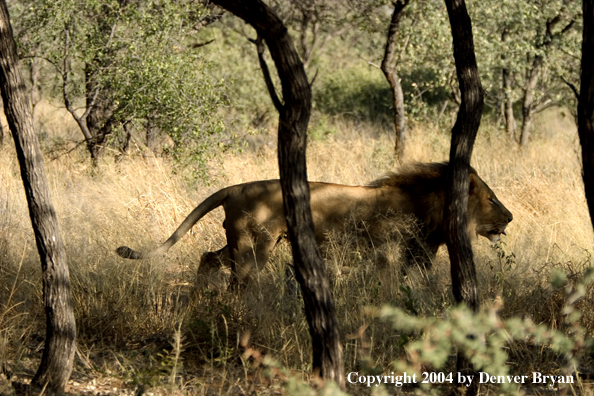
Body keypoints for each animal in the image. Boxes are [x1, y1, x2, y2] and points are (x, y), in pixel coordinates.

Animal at [115, 162, 508, 284]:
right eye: (491, 199)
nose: (511, 217)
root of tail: (235, 187)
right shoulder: (390, 253)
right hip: (255, 245)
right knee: (239, 280)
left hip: (240, 241)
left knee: (208, 258)